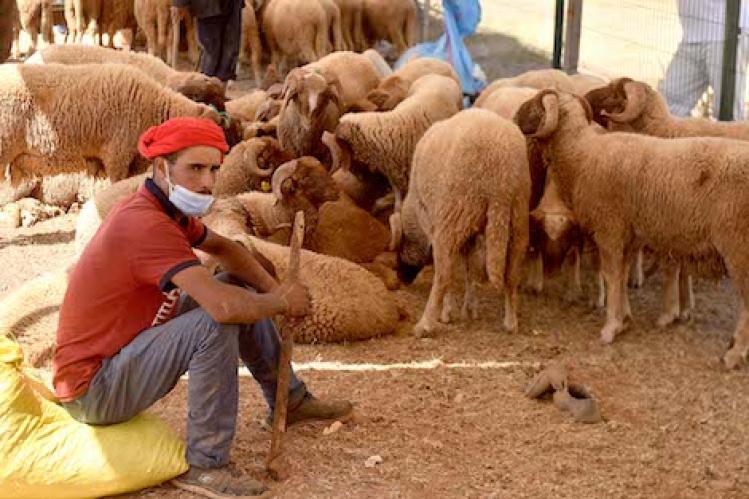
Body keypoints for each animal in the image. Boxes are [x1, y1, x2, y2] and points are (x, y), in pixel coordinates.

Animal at [394, 107, 528, 338]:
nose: (401, 279)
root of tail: (500, 180)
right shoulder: (471, 231)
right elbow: (470, 267)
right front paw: (470, 308)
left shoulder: (434, 224)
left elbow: (452, 268)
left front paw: (447, 312)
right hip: (516, 217)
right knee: (511, 275)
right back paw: (511, 323)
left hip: (455, 213)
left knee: (444, 274)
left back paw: (425, 324)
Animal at [516, 89, 749, 372]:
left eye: (535, 105)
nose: (514, 118)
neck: (581, 154)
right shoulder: (626, 236)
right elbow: (621, 276)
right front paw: (625, 319)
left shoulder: (610, 230)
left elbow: (612, 276)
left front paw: (610, 328)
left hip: (738, 244)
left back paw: (734, 354)